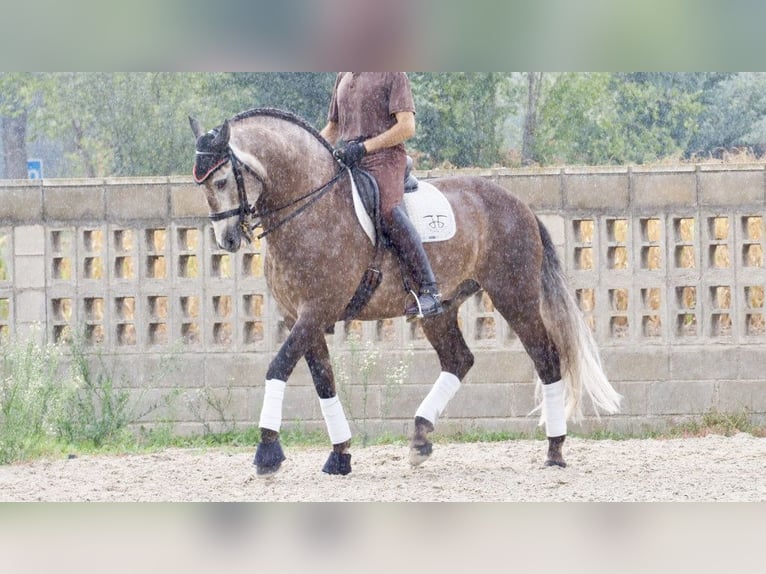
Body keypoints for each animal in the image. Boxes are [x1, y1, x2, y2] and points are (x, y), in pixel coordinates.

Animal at [190, 107, 624, 476]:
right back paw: (419, 438)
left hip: (513, 295)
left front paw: (267, 452)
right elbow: (324, 381)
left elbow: (278, 366)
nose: (227, 240)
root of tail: (520, 205)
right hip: (443, 306)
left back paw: (555, 450)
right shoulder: (300, 316)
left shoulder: (316, 311)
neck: (311, 208)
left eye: (222, 180)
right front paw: (340, 457)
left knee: (546, 358)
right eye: (203, 187)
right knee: (459, 359)